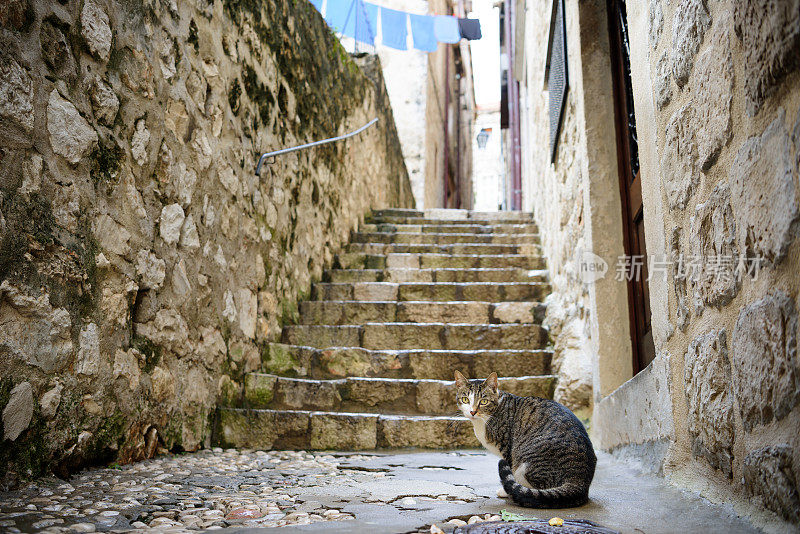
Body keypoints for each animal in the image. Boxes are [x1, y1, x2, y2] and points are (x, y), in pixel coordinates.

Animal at [456, 370, 592, 508]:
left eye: (484, 401)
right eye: (465, 400)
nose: (472, 412)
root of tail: (580, 482)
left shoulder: (507, 449)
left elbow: (511, 471)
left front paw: (506, 491)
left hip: (527, 460)